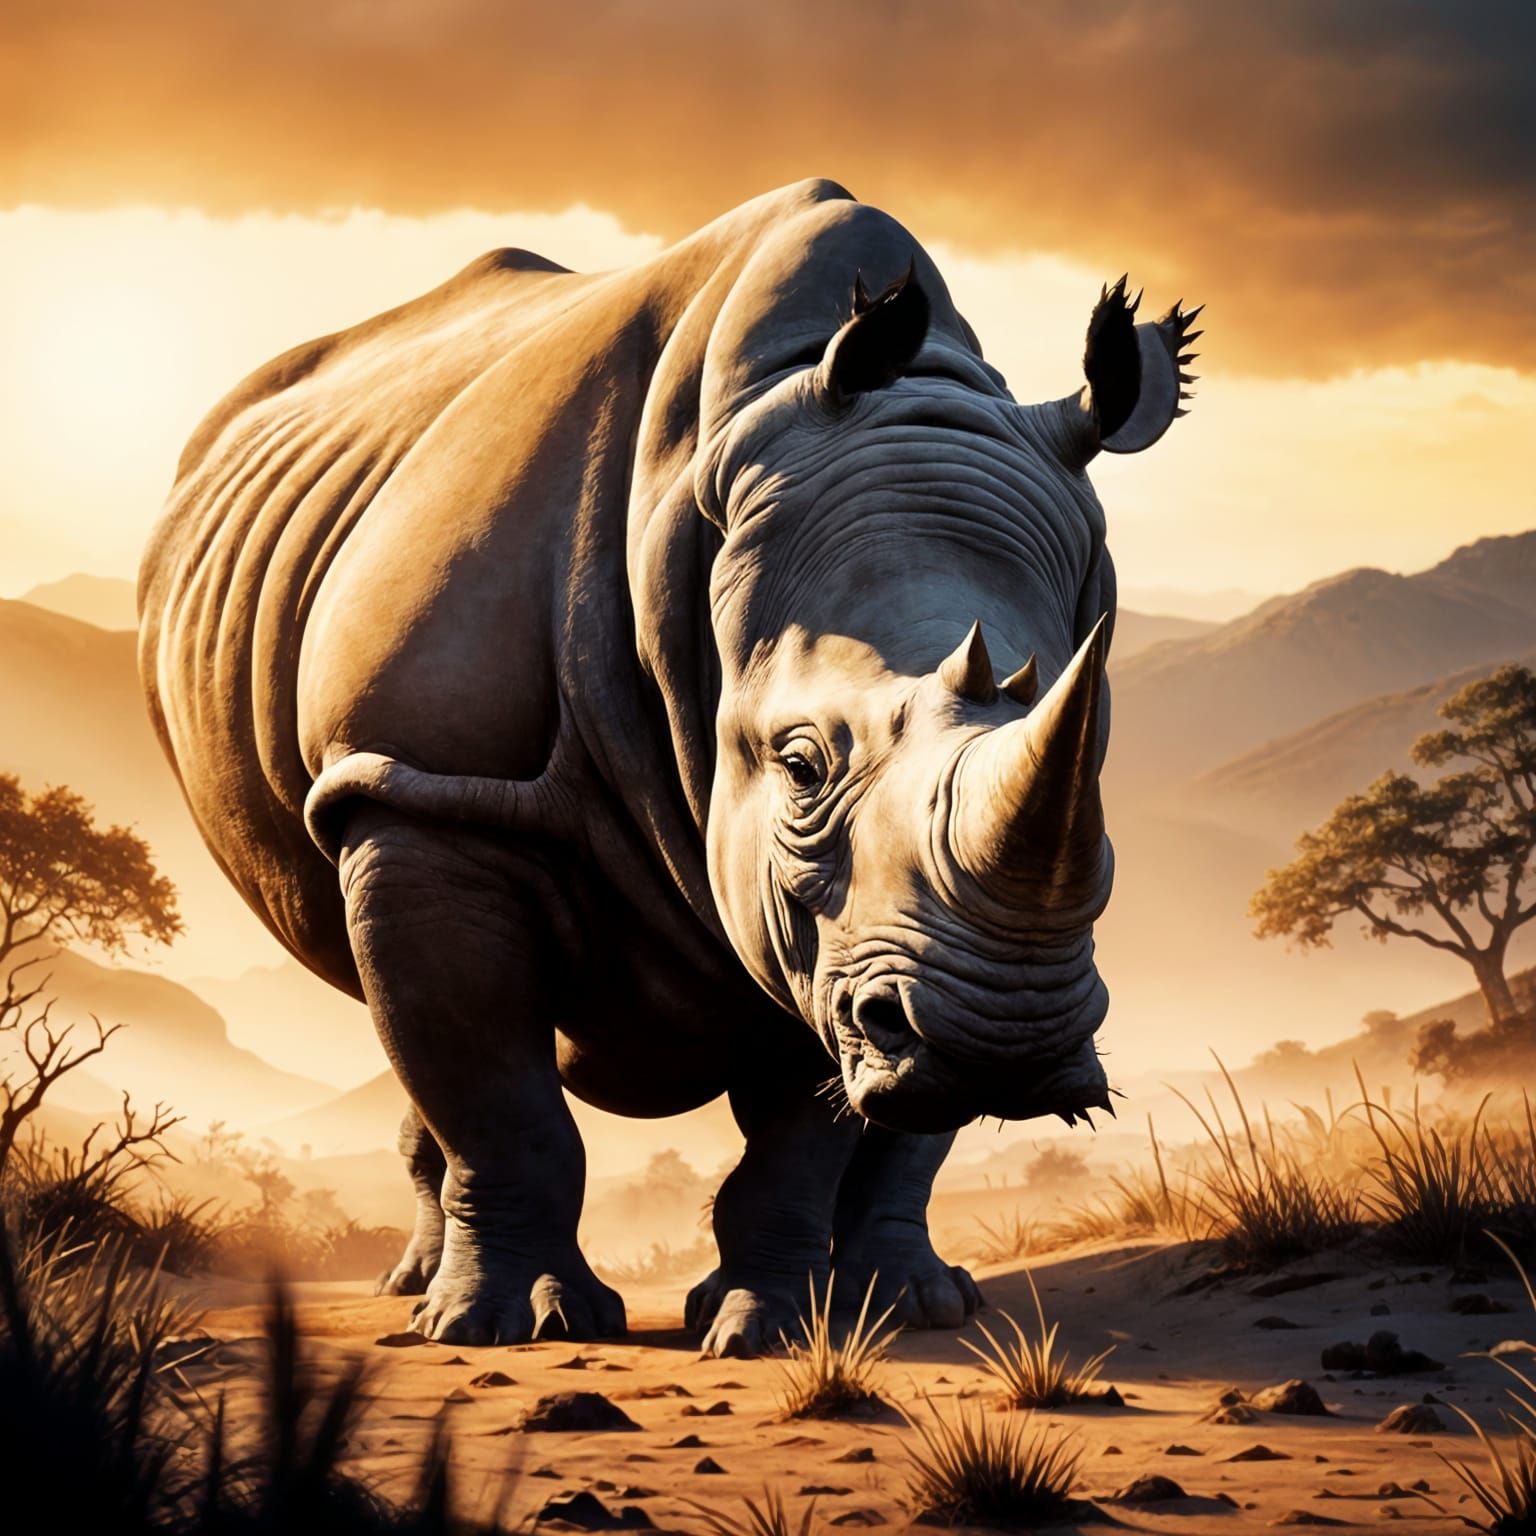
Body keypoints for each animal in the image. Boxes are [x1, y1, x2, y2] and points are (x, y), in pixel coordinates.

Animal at [139, 179, 1198, 1354]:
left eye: (1096, 760)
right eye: (799, 766)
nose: (1007, 1037)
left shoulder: (823, 927)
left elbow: (801, 1120)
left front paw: (764, 1329)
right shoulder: (428, 789)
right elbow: (499, 1095)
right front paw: (512, 1326)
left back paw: (916, 1304)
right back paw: (418, 1295)